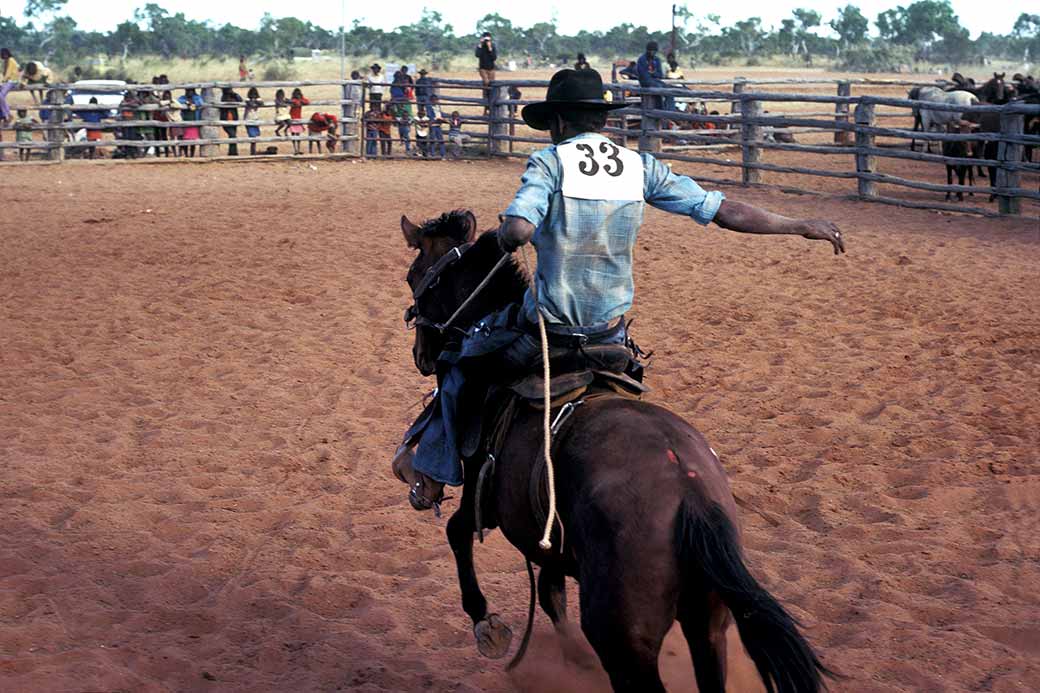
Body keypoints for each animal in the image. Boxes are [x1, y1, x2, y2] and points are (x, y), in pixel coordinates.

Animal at [401, 210, 832, 690]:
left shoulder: (486, 495)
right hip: (708, 626)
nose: (422, 355)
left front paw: (486, 624)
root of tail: (691, 496)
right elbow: (550, 594)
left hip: (625, 642)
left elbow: (457, 533)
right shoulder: (548, 537)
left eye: (414, 276)